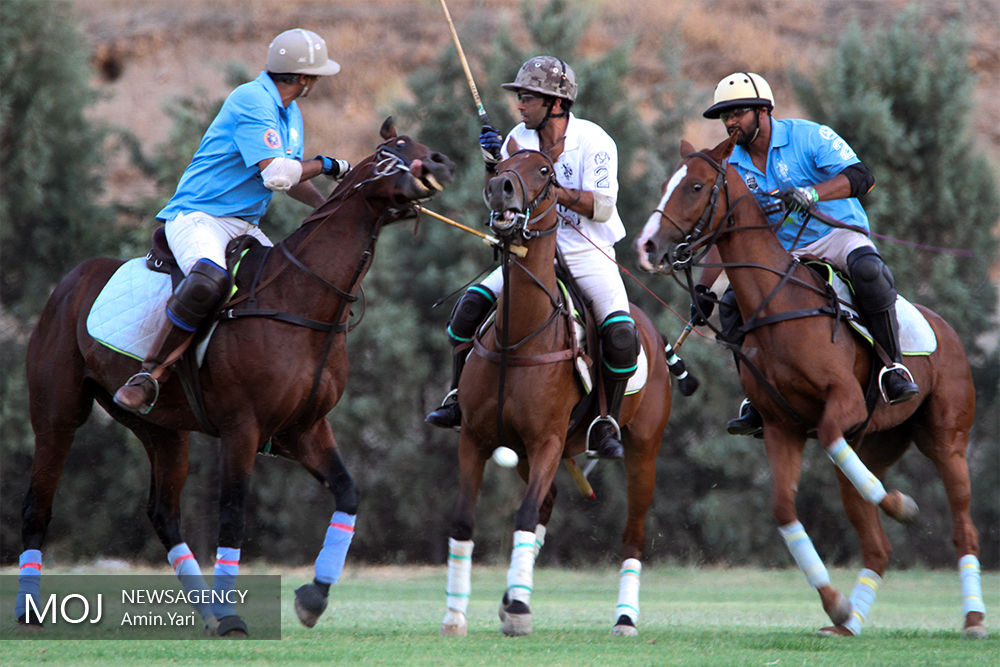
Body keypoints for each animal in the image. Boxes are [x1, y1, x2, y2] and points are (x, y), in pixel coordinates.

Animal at [17, 118, 456, 636]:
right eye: (396, 148)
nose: (443, 163)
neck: (303, 300)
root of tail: (69, 280)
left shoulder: (304, 428)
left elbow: (348, 493)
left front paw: (312, 597)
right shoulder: (242, 428)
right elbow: (232, 516)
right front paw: (233, 614)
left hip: (163, 428)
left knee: (163, 513)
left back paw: (206, 610)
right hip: (57, 413)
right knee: (37, 505)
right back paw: (31, 609)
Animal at [444, 144, 672, 640]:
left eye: (545, 172)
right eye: (500, 163)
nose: (499, 187)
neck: (519, 337)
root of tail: (650, 329)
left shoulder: (546, 440)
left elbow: (525, 515)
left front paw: (519, 612)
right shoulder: (475, 437)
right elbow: (465, 519)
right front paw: (455, 615)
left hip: (643, 449)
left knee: (633, 533)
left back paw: (625, 618)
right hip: (528, 454)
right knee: (545, 506)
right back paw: (513, 594)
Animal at [640, 133, 984, 640]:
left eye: (696, 186)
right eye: (668, 182)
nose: (648, 245)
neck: (778, 303)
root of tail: (945, 327)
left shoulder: (843, 403)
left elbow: (826, 435)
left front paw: (900, 504)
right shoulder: (780, 426)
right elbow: (784, 509)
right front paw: (835, 604)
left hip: (947, 440)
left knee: (964, 525)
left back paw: (974, 618)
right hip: (874, 444)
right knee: (876, 542)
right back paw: (849, 623)